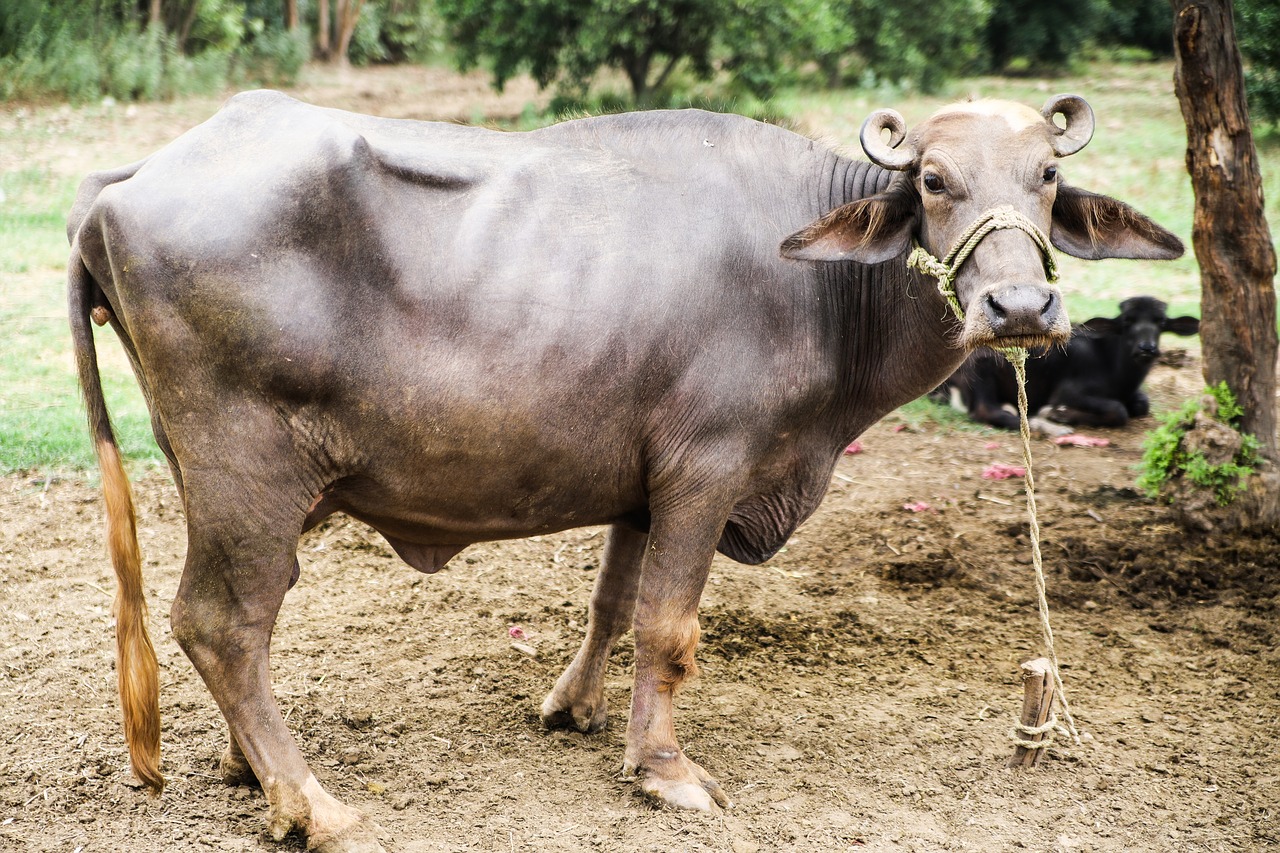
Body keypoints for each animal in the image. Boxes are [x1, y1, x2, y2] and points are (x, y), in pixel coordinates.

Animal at [70, 89, 1182, 845]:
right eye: (935, 181)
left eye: (1044, 178)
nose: (1019, 309)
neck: (818, 288)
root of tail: (123, 183)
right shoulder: (707, 466)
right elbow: (669, 624)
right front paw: (664, 767)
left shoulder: (641, 481)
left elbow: (613, 599)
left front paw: (575, 706)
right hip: (244, 470)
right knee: (222, 621)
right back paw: (310, 802)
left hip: (217, 477)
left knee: (241, 621)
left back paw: (250, 770)